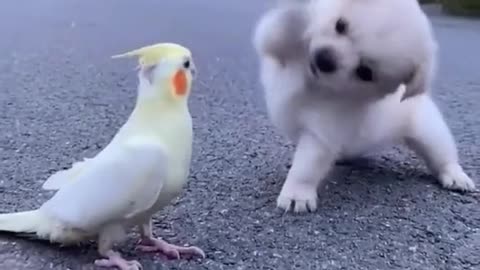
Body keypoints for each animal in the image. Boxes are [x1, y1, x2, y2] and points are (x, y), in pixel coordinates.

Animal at [251, 0, 476, 213]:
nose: (324, 60)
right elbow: (273, 33)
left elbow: (305, 167)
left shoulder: (322, 133)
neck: (313, 82)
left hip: (429, 132)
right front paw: (296, 19)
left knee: (442, 155)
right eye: (340, 25)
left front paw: (297, 195)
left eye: (365, 72)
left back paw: (456, 176)